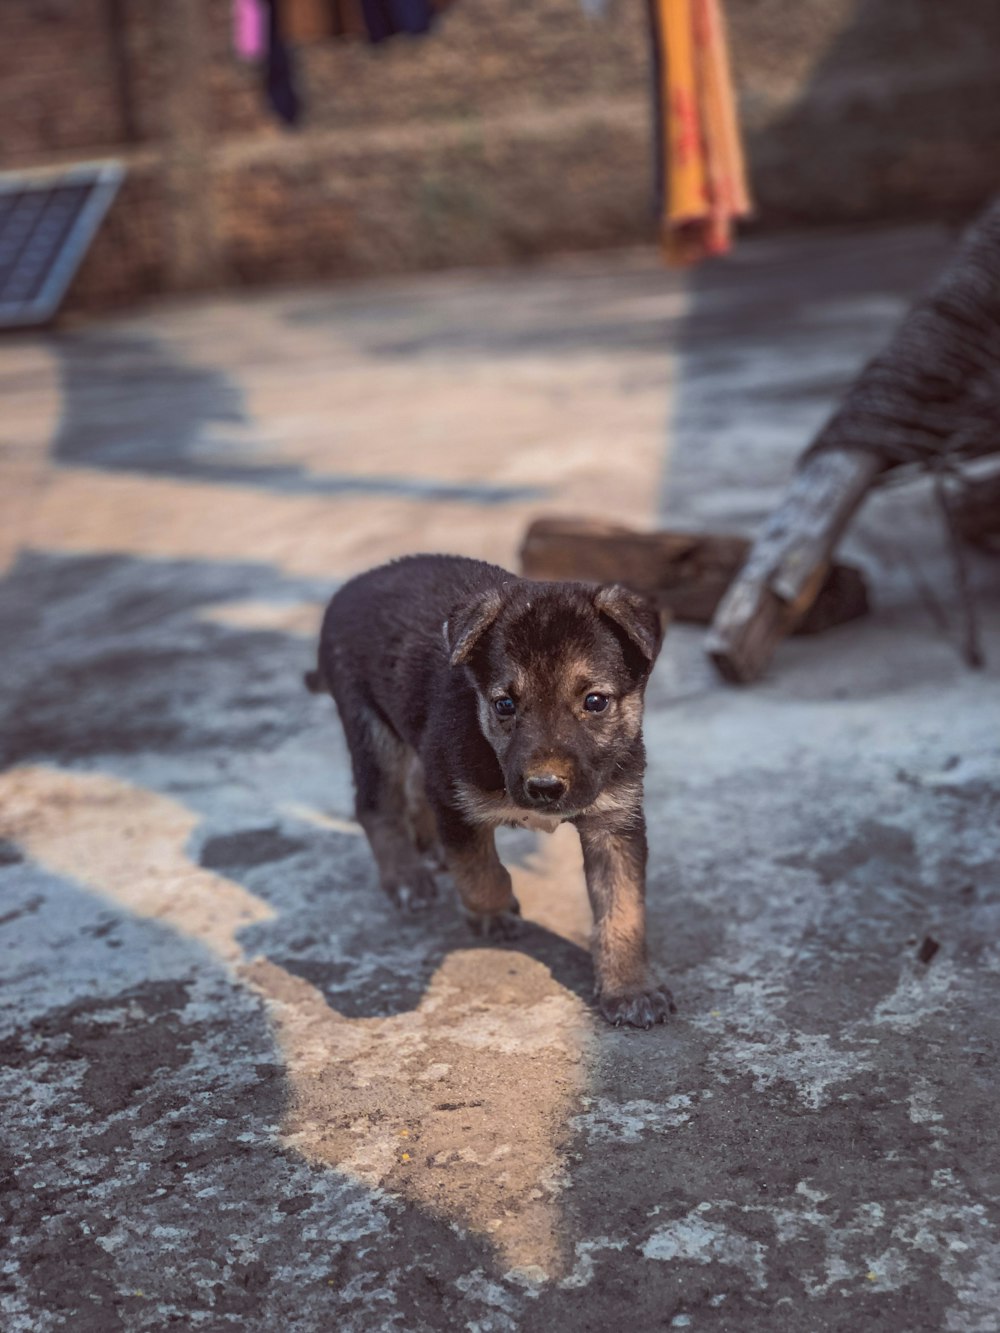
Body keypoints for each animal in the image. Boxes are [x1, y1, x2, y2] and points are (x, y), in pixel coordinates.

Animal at [309, 551, 677, 1029]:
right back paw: (405, 877)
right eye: (505, 705)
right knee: (375, 806)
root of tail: (353, 585)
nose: (544, 788)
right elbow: (480, 874)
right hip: (370, 725)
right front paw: (495, 912)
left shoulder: (615, 821)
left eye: (595, 702)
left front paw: (631, 989)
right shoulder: (457, 803)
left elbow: (624, 911)